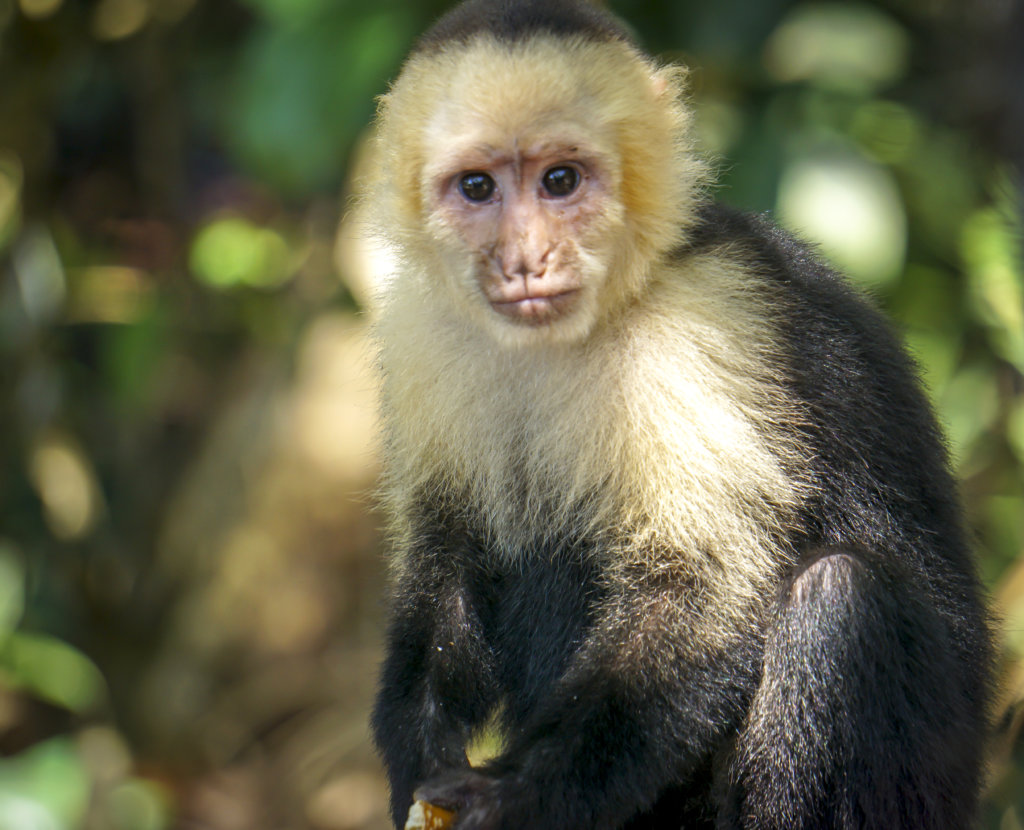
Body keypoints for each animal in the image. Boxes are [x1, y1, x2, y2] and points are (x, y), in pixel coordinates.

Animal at [362, 0, 991, 826]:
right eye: (476, 187)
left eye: (560, 180)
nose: (526, 259)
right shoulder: (418, 331)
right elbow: (445, 554)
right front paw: (417, 754)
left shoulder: (699, 325)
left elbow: (700, 590)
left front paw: (513, 797)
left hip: (923, 791)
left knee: (839, 601)